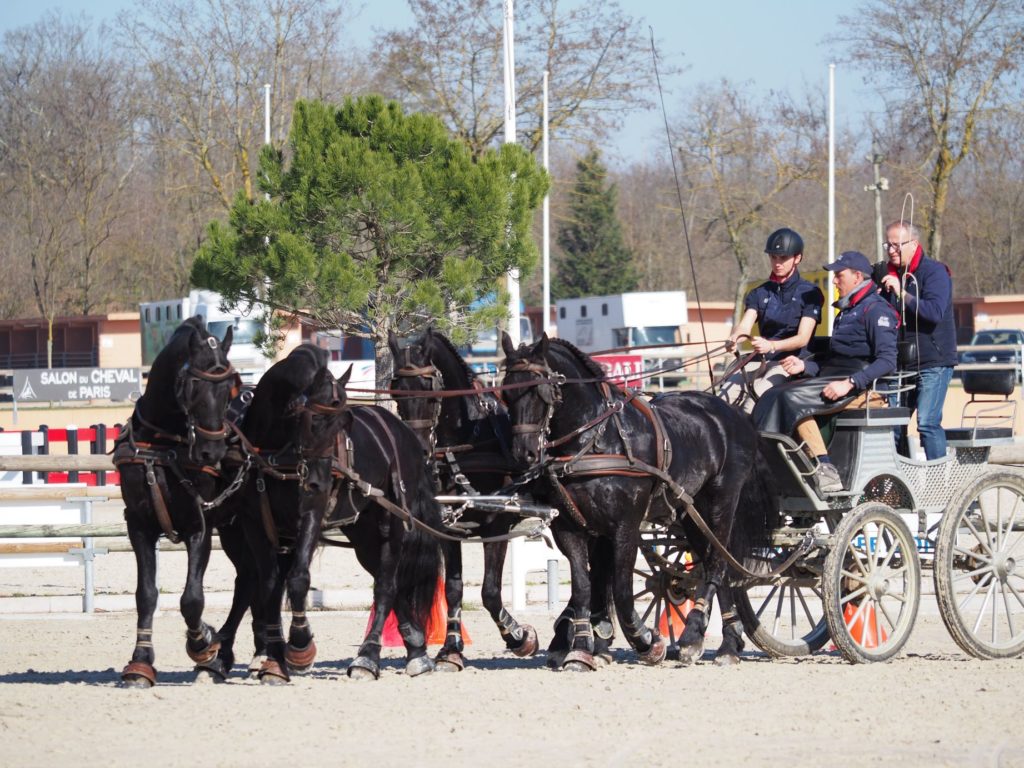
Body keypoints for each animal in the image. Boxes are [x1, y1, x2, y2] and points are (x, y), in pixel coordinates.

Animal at [116, 315, 262, 688]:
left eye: (228, 389)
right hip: (235, 529)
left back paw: (248, 654)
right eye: (193, 384)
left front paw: (202, 643)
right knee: (249, 581)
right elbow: (146, 594)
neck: (162, 446)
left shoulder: (200, 525)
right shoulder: (139, 525)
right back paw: (227, 657)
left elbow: (192, 599)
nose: (212, 452)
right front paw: (140, 662)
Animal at [239, 346, 444, 684]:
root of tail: (404, 433)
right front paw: (273, 660)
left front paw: (300, 648)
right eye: (309, 419)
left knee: (386, 585)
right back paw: (416, 650)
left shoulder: (309, 514)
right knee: (392, 583)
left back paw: (368, 657)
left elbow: (297, 578)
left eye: (344, 424)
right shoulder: (256, 525)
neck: (273, 450)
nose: (318, 482)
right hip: (363, 536)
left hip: (390, 524)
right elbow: (269, 586)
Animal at [501, 333, 774, 671]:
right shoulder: (569, 528)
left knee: (717, 563)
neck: (596, 438)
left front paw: (645, 641)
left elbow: (620, 589)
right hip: (690, 512)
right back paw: (728, 643)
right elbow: (583, 586)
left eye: (538, 390)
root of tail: (733, 414)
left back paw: (692, 637)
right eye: (505, 393)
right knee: (714, 562)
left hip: (721, 501)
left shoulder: (625, 527)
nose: (523, 453)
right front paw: (581, 648)